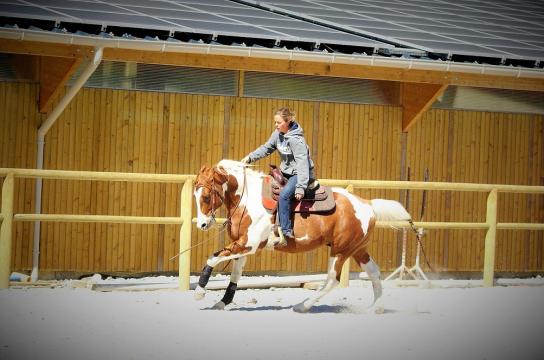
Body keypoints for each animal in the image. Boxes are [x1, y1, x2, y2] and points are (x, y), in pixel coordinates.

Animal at [191, 160, 412, 312]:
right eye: (195, 195)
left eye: (206, 196)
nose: (202, 224)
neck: (248, 199)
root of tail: (368, 205)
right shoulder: (242, 246)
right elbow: (235, 275)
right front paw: (222, 302)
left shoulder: (249, 244)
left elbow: (213, 257)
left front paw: (200, 292)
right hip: (358, 250)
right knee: (374, 272)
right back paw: (376, 308)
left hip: (341, 251)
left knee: (332, 280)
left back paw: (303, 306)